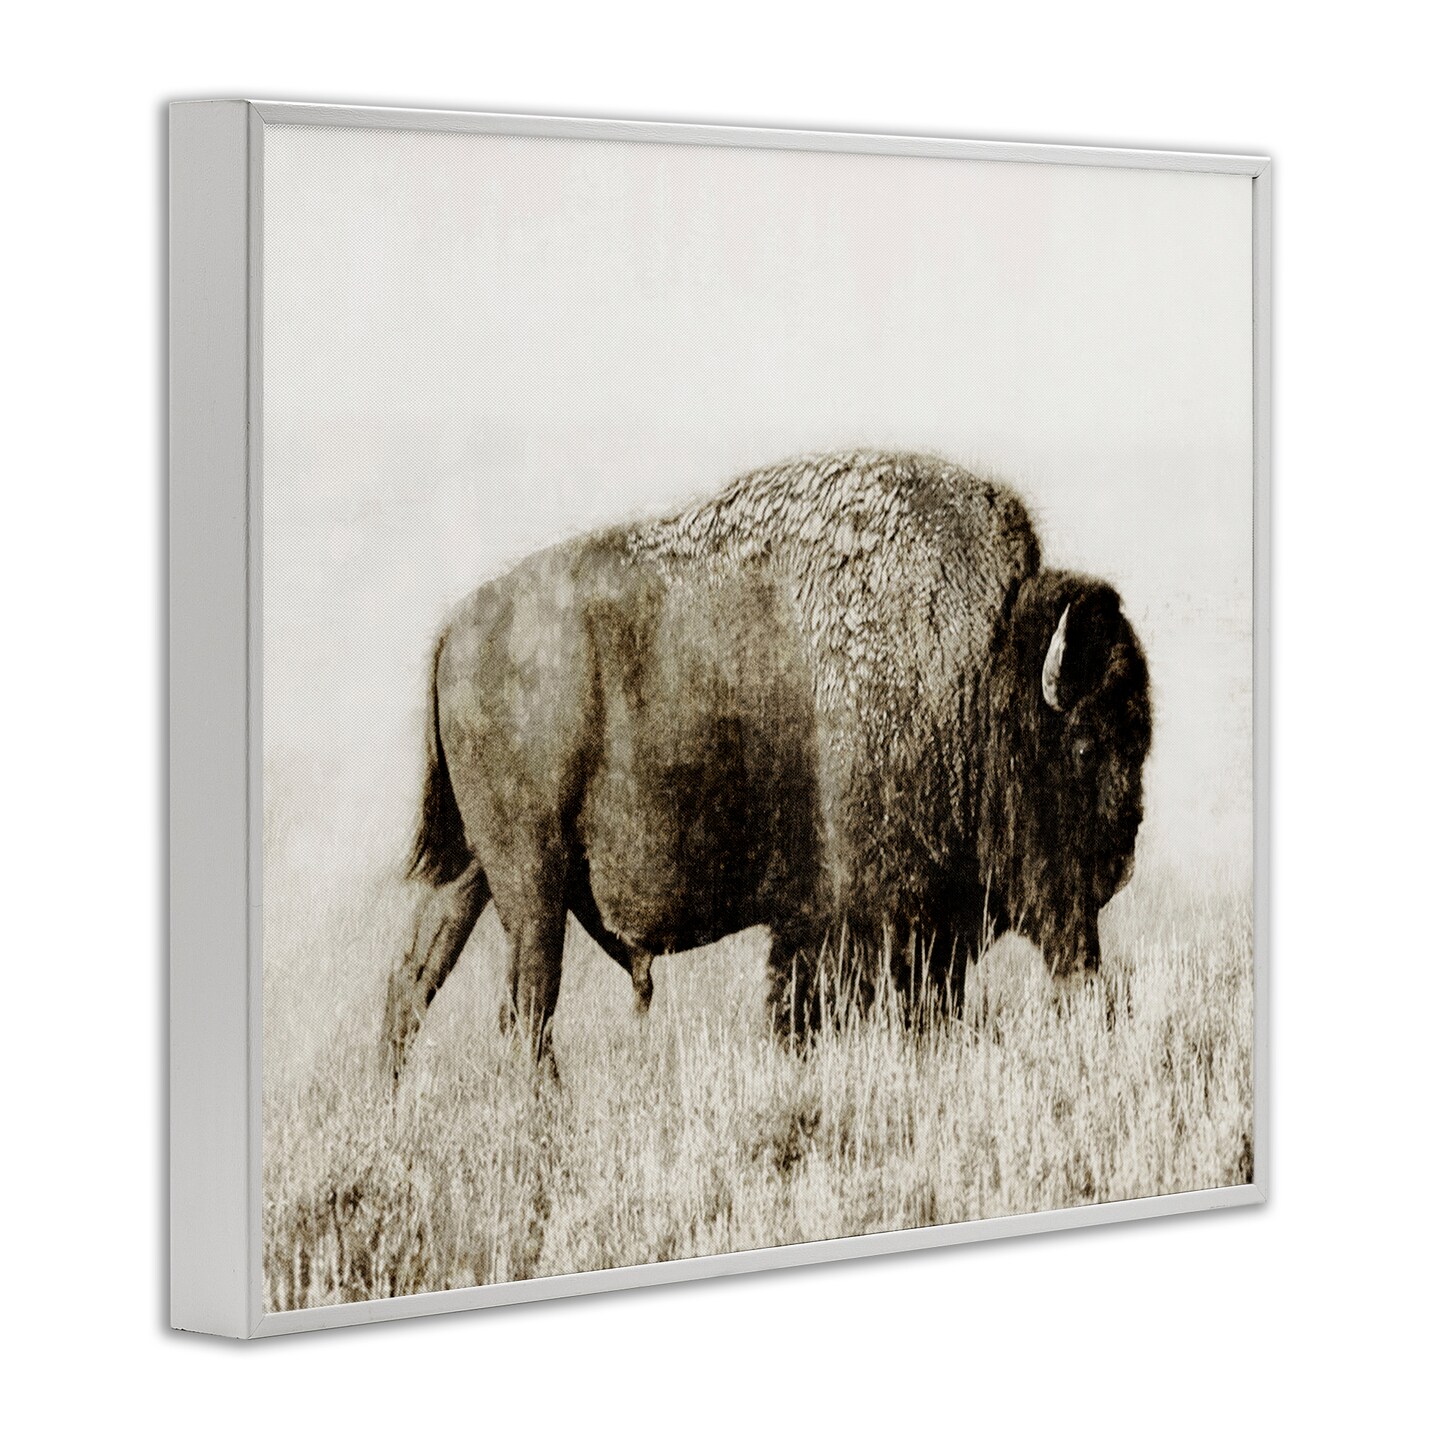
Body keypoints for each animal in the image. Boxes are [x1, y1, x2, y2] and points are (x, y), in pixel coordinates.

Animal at [383, 450, 1151, 1079]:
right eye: (1085, 745)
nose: (1117, 865)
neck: (979, 671)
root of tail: (454, 630)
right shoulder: (880, 922)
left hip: (473, 872)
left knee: (414, 982)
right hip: (530, 877)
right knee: (526, 1007)